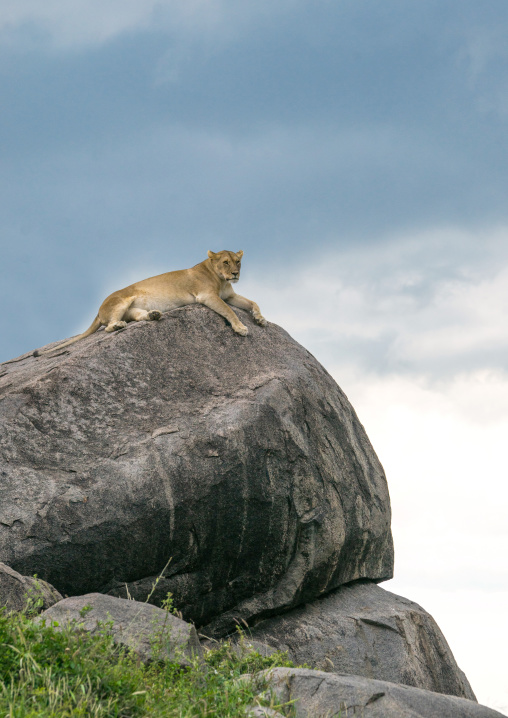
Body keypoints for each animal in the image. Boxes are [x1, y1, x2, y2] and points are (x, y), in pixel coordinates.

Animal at [34, 250, 267, 356]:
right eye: (225, 262)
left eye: (238, 262)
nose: (235, 273)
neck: (221, 279)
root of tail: (99, 310)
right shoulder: (207, 296)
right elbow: (229, 311)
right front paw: (241, 327)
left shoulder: (229, 295)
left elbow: (253, 302)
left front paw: (260, 319)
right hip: (122, 301)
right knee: (109, 326)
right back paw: (119, 325)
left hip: (132, 308)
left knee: (137, 317)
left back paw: (154, 315)